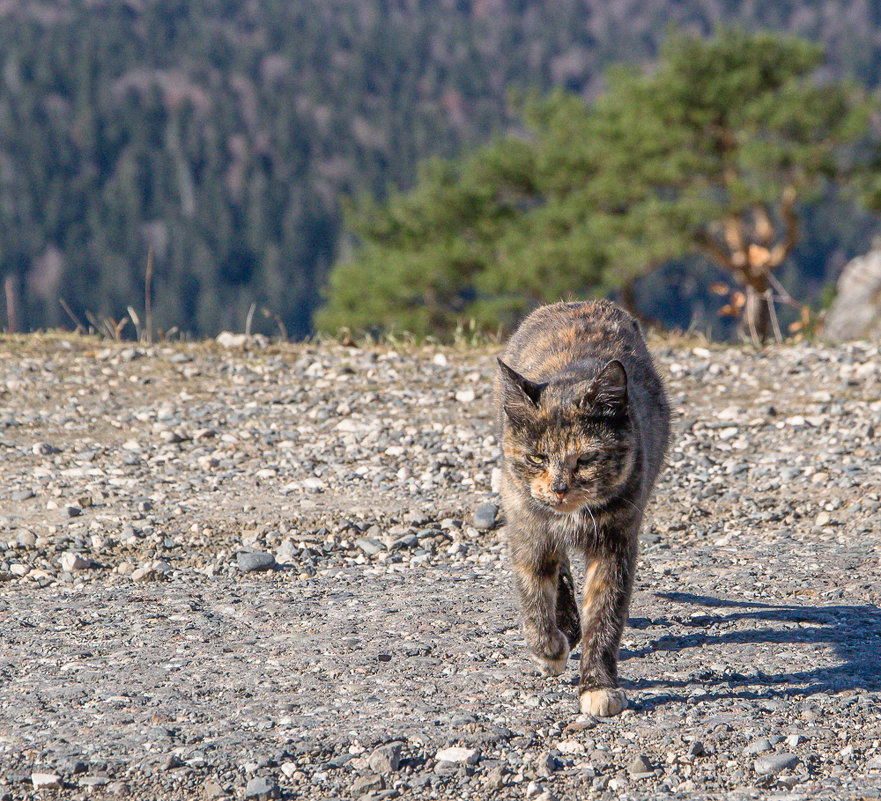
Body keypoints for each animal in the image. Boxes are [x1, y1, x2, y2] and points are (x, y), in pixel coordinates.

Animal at [496, 298, 668, 712]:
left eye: (586, 459)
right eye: (538, 458)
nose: (559, 488)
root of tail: (581, 302)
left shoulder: (615, 543)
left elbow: (605, 616)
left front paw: (597, 685)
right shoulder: (528, 531)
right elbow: (534, 599)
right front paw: (550, 650)